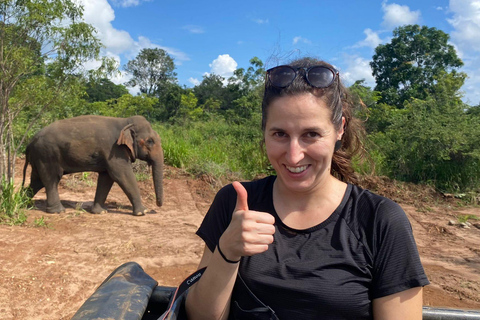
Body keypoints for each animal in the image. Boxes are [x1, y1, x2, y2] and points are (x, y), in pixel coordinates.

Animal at [21, 115, 164, 215]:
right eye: (150, 141)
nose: (157, 206)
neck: (125, 122)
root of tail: (30, 143)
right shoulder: (114, 151)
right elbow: (122, 175)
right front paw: (143, 212)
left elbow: (106, 178)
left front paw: (100, 212)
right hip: (47, 155)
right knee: (51, 179)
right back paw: (58, 211)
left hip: (39, 157)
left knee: (37, 181)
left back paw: (22, 202)